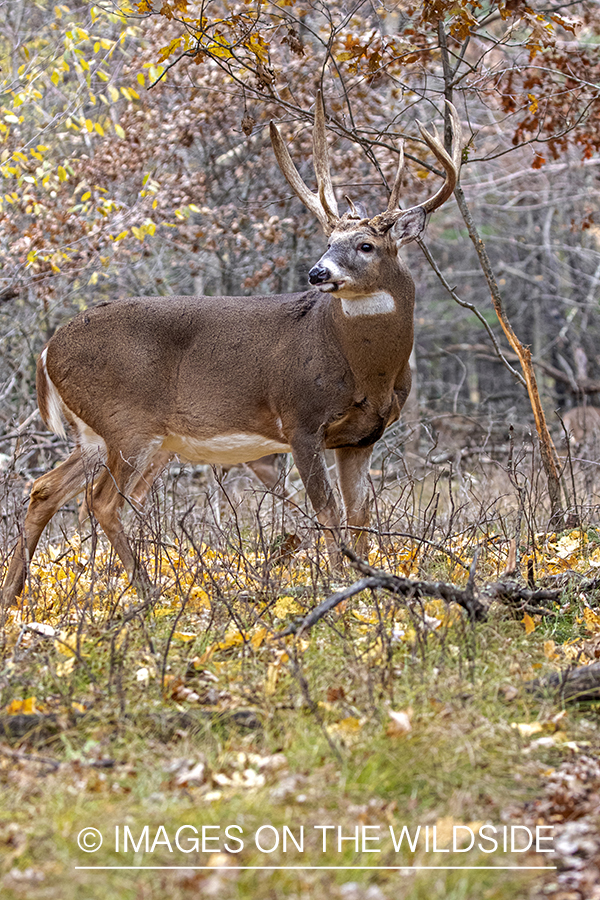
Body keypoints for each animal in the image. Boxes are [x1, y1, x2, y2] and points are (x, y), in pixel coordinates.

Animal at [0, 95, 462, 608]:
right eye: (328, 241)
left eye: (365, 245)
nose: (317, 273)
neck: (367, 371)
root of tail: (47, 350)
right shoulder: (300, 417)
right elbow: (327, 510)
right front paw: (340, 584)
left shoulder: (361, 437)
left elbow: (359, 513)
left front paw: (370, 589)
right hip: (127, 422)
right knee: (100, 501)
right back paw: (149, 594)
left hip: (100, 435)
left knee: (44, 488)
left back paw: (13, 596)